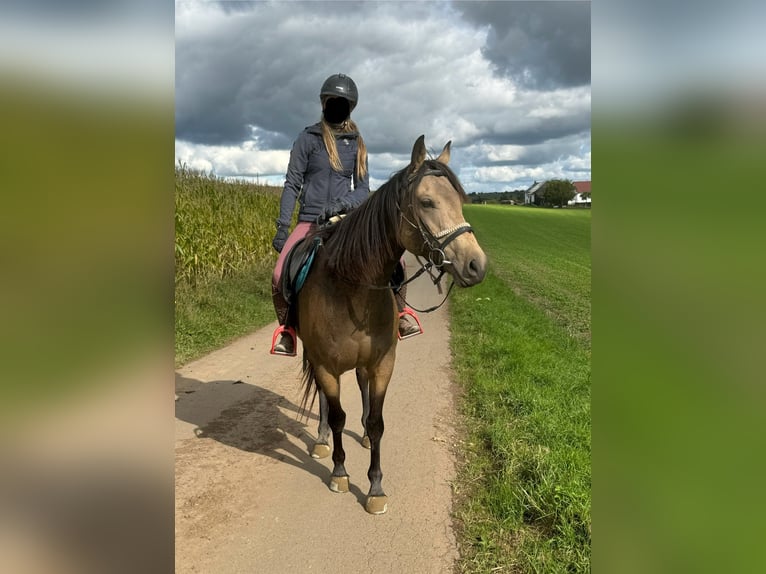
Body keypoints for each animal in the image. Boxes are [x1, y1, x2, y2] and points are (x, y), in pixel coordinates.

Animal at [286, 136, 486, 516]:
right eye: (426, 202)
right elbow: (337, 416)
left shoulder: (382, 364)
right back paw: (320, 439)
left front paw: (375, 487)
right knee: (324, 403)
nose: (476, 265)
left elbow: (378, 422)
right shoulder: (326, 366)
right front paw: (339, 472)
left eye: (460, 201)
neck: (352, 287)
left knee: (362, 391)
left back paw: (361, 434)